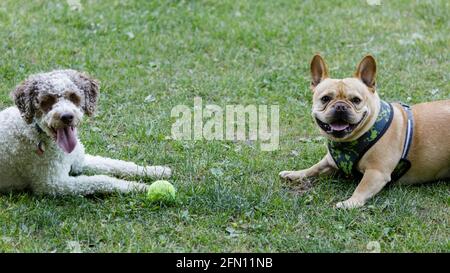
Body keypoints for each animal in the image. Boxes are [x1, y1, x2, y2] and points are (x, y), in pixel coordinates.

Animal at [0, 69, 171, 194]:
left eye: (73, 96)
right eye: (47, 100)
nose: (67, 116)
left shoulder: (79, 161)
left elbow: (117, 164)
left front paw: (156, 170)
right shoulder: (54, 184)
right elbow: (101, 180)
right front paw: (138, 186)